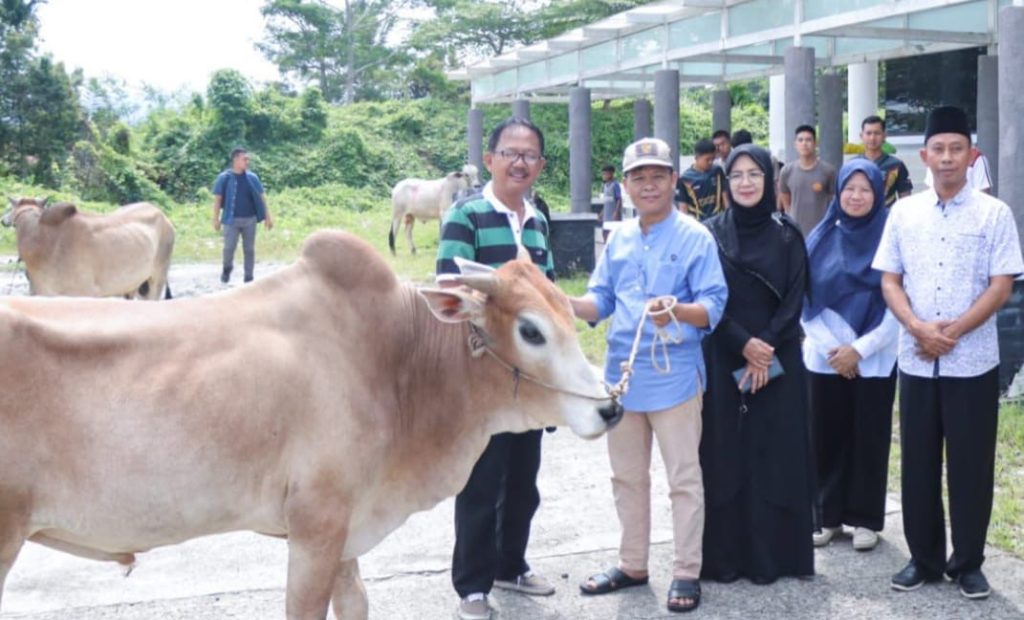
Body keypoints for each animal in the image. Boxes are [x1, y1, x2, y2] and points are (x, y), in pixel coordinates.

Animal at [0, 230, 618, 618]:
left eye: (571, 313)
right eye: (531, 331)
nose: (609, 407)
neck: (398, 362)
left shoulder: (345, 533)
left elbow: (356, 605)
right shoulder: (316, 527)